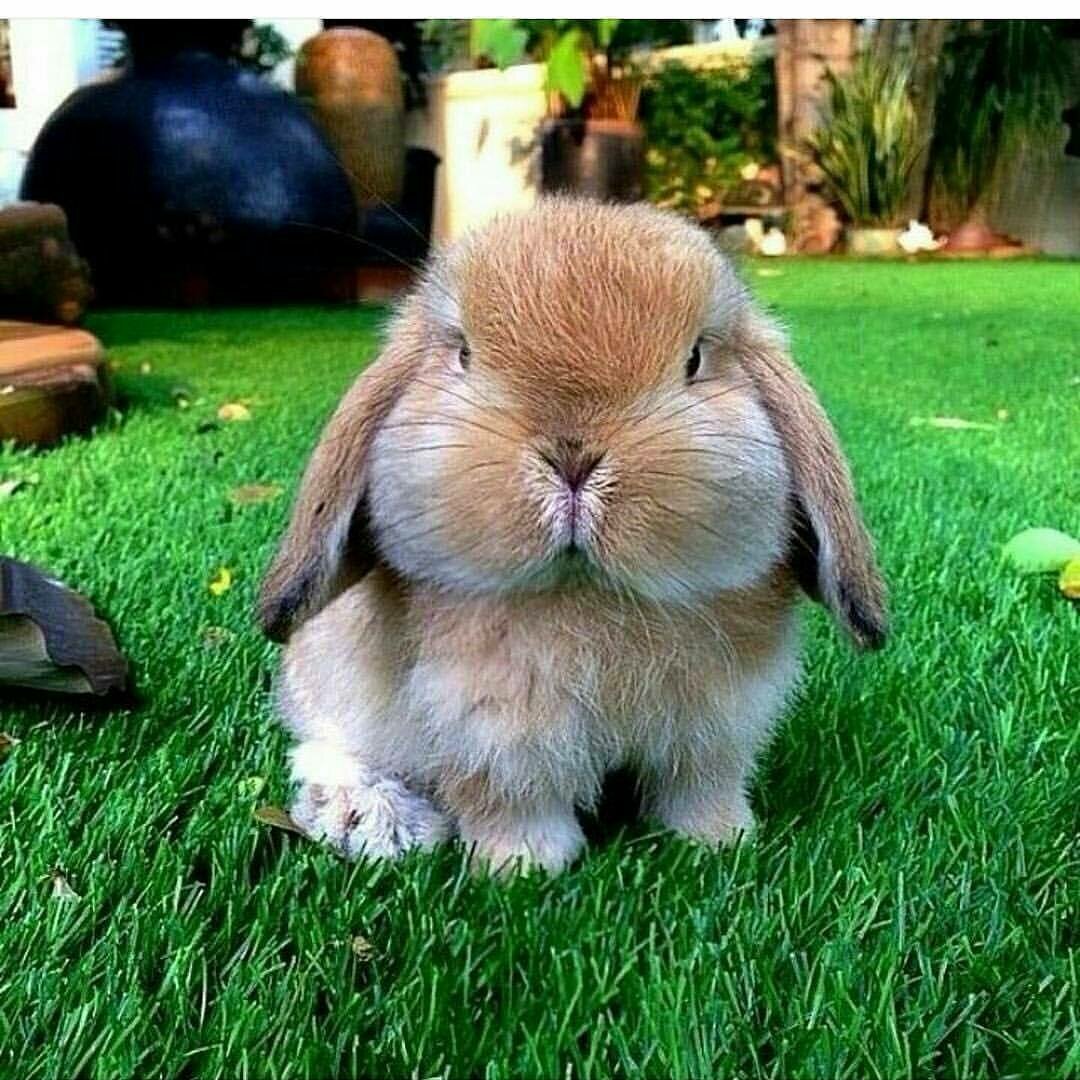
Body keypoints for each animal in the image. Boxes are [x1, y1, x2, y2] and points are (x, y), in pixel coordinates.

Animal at [259, 196, 887, 874]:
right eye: (464, 356)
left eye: (694, 360)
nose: (573, 459)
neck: (591, 595)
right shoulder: (490, 733)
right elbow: (513, 801)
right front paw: (524, 867)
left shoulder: (717, 726)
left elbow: (700, 787)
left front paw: (721, 842)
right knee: (323, 746)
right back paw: (372, 820)